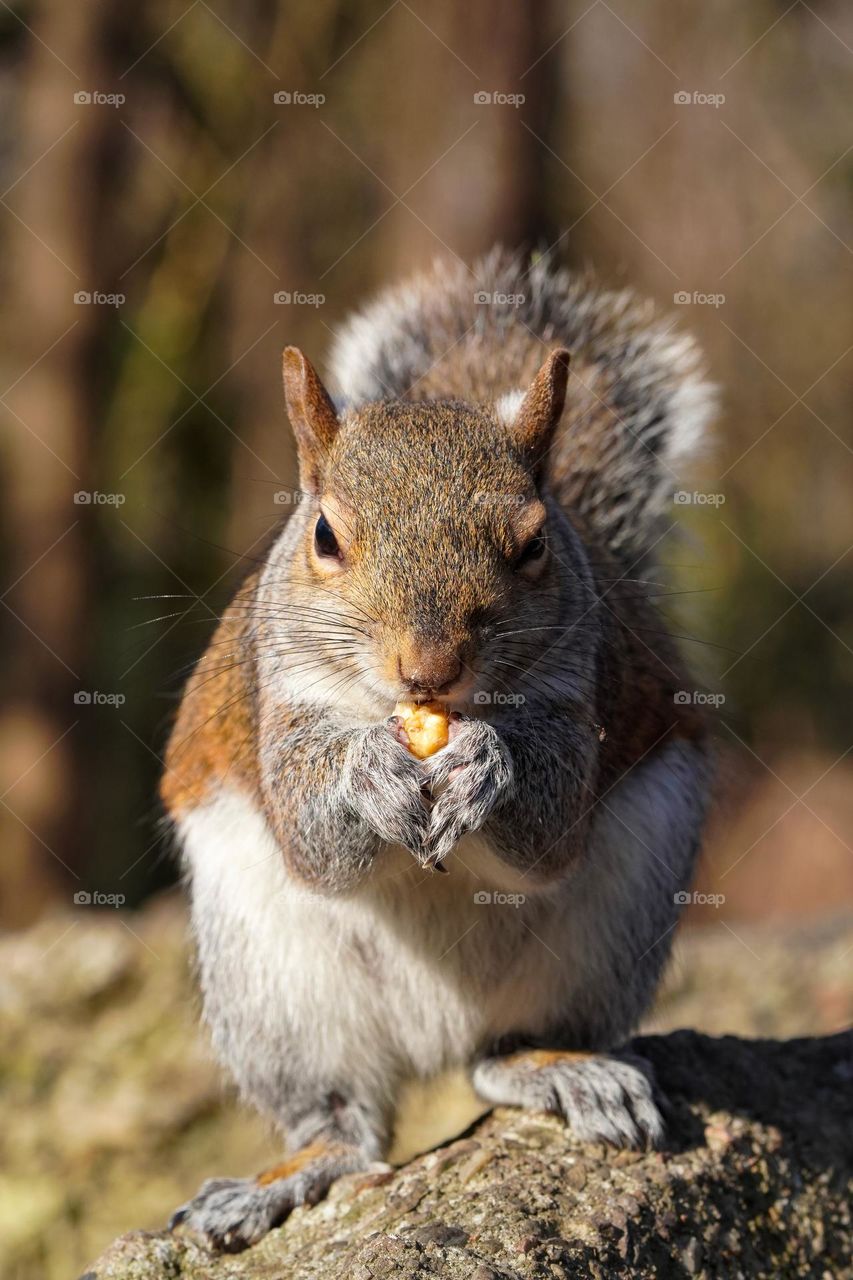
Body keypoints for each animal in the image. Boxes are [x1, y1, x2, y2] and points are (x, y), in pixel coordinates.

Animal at [159, 249, 712, 1249]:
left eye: (534, 544)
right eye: (323, 535)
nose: (429, 669)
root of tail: (432, 1038)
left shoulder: (580, 694)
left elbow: (549, 834)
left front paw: (487, 763)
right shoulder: (277, 701)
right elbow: (315, 841)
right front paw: (368, 770)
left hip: (612, 927)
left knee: (498, 1055)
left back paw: (561, 1068)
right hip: (274, 987)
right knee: (345, 1123)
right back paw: (286, 1176)